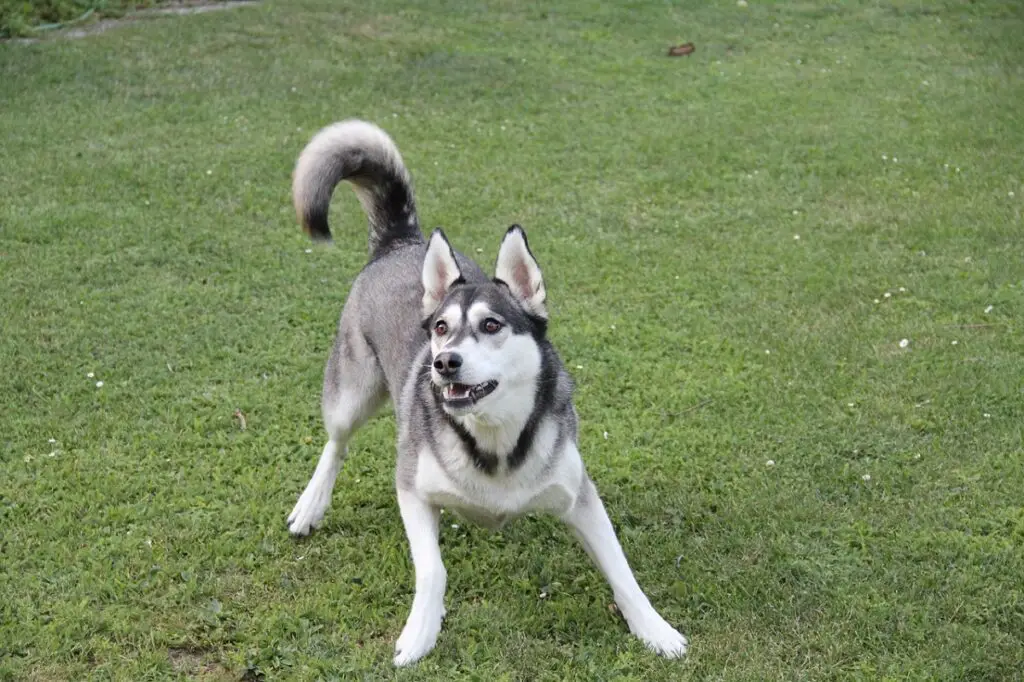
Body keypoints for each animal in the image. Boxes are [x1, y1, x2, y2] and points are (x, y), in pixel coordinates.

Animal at [288, 119, 688, 659]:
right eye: (441, 328)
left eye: (492, 325)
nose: (443, 362)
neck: (495, 439)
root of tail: (401, 241)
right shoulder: (411, 486)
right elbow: (433, 570)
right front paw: (421, 633)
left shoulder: (580, 495)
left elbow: (623, 572)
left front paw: (654, 629)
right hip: (352, 391)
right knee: (336, 443)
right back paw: (310, 506)